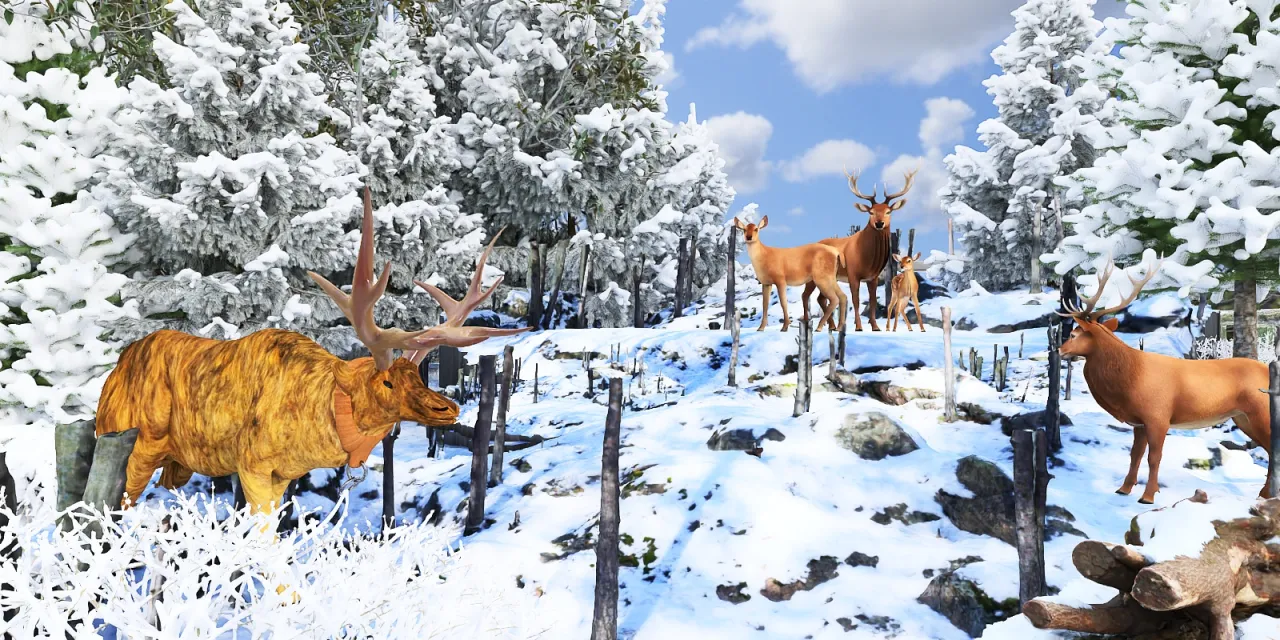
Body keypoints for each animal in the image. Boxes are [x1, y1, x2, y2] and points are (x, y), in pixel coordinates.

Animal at [92, 186, 527, 512]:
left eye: (417, 376)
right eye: (385, 383)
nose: (446, 408)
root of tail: (115, 372)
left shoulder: (283, 475)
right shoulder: (251, 464)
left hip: (176, 461)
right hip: (131, 440)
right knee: (113, 502)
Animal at [808, 167, 911, 332]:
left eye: (888, 211)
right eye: (871, 212)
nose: (879, 223)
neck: (868, 258)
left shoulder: (873, 277)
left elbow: (873, 301)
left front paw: (875, 326)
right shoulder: (852, 274)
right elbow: (855, 300)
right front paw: (858, 326)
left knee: (821, 298)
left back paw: (832, 326)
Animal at [1059, 257, 1269, 501]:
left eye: (1073, 334)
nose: (1059, 350)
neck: (1132, 378)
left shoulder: (1158, 416)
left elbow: (1154, 457)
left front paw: (1148, 496)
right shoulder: (1139, 421)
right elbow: (1135, 455)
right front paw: (1124, 489)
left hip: (1261, 411)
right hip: (1242, 417)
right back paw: (1263, 495)